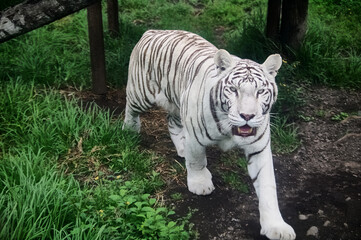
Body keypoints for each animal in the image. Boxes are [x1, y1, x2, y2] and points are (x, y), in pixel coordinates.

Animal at [124, 30, 296, 240]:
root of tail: (153, 31)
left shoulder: (259, 148)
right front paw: (200, 184)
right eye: (233, 90)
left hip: (178, 103)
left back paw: (181, 147)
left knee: (172, 121)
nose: (247, 116)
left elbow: (267, 187)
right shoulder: (195, 136)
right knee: (130, 109)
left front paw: (276, 227)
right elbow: (197, 161)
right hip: (141, 94)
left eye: (261, 91)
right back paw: (129, 132)